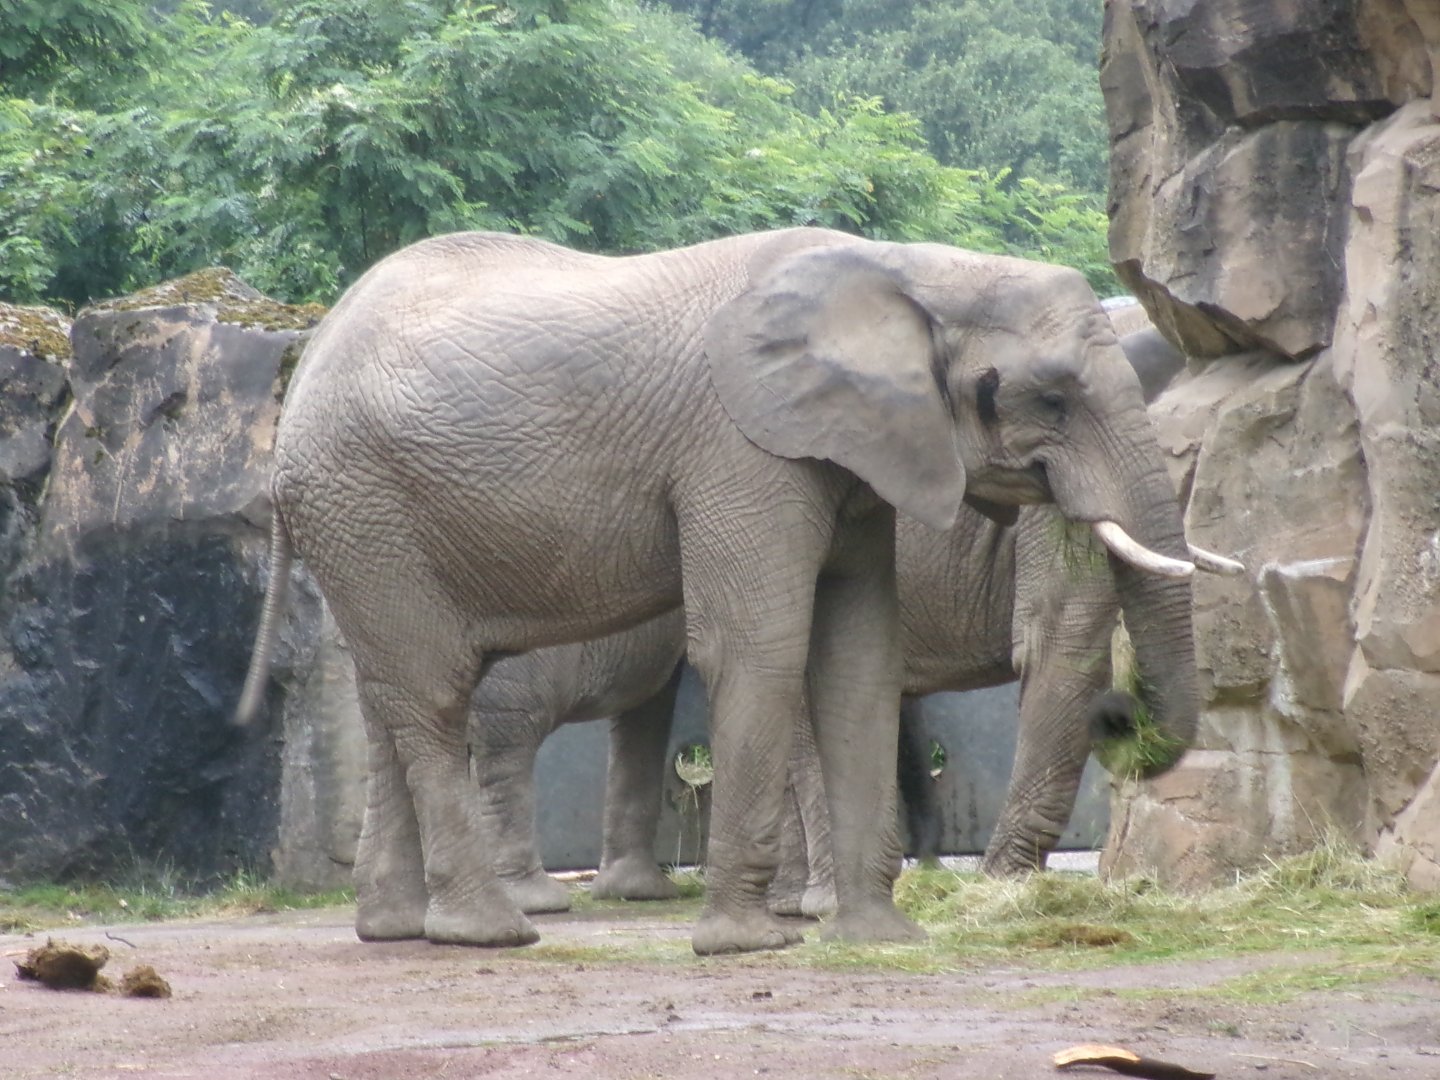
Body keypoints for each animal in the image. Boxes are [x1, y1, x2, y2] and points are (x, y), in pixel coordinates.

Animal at [237, 227, 1199, 955]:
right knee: (436, 696)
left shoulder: (855, 455)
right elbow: (763, 642)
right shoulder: (741, 452)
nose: (1126, 718)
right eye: (1053, 398)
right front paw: (748, 945)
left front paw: (880, 939)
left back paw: (398, 928)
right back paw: (493, 932)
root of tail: (309, 352)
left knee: (389, 699)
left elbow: (857, 656)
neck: (911, 270)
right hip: (365, 502)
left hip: (364, 524)